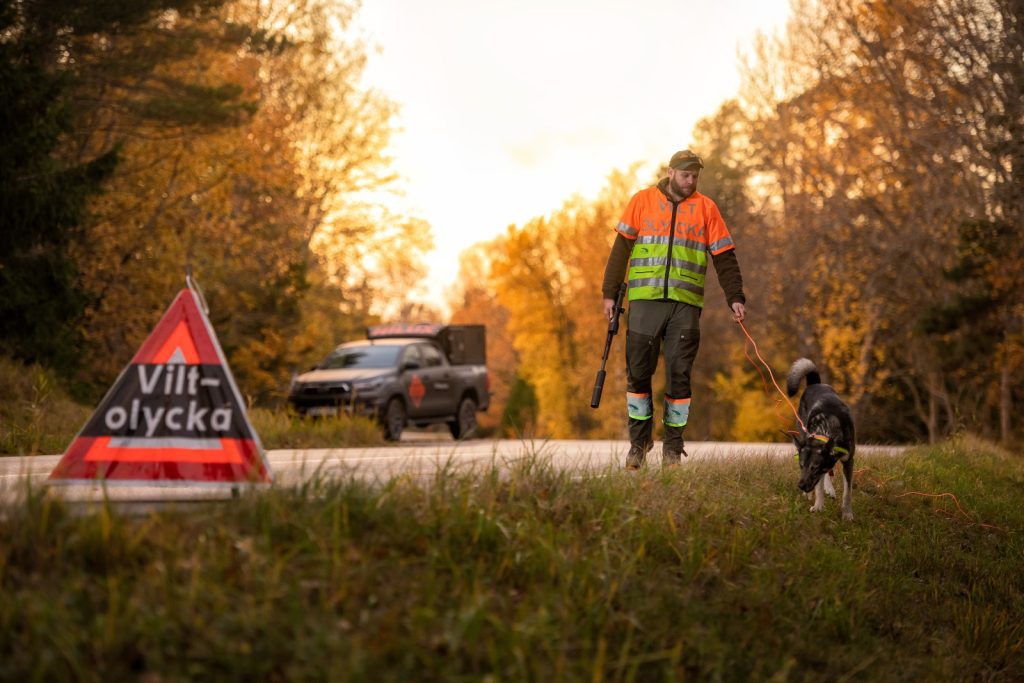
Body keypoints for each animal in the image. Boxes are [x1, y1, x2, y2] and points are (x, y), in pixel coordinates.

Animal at [782, 360, 856, 520]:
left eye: (814, 468)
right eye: (801, 466)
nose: (801, 486)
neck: (827, 428)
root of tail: (815, 384)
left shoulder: (848, 461)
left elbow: (847, 492)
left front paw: (847, 513)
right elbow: (819, 487)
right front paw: (818, 506)